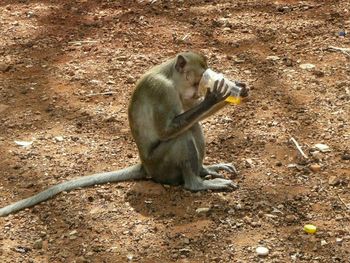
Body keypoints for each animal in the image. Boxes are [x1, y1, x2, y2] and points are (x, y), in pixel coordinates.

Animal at [0, 52, 247, 219]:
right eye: (196, 81)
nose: (197, 93)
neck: (170, 77)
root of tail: (144, 166)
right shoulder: (162, 90)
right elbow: (168, 130)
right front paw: (215, 96)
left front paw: (237, 91)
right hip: (161, 167)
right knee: (181, 137)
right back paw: (196, 183)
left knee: (193, 128)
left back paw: (204, 170)